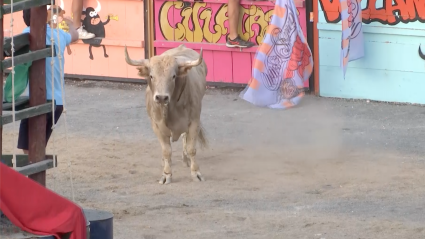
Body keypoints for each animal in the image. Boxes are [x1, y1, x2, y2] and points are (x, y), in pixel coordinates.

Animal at [123, 44, 208, 184]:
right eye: (151, 76)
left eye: (173, 76)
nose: (161, 97)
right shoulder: (156, 126)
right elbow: (166, 151)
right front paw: (166, 174)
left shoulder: (194, 122)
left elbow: (191, 148)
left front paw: (196, 173)